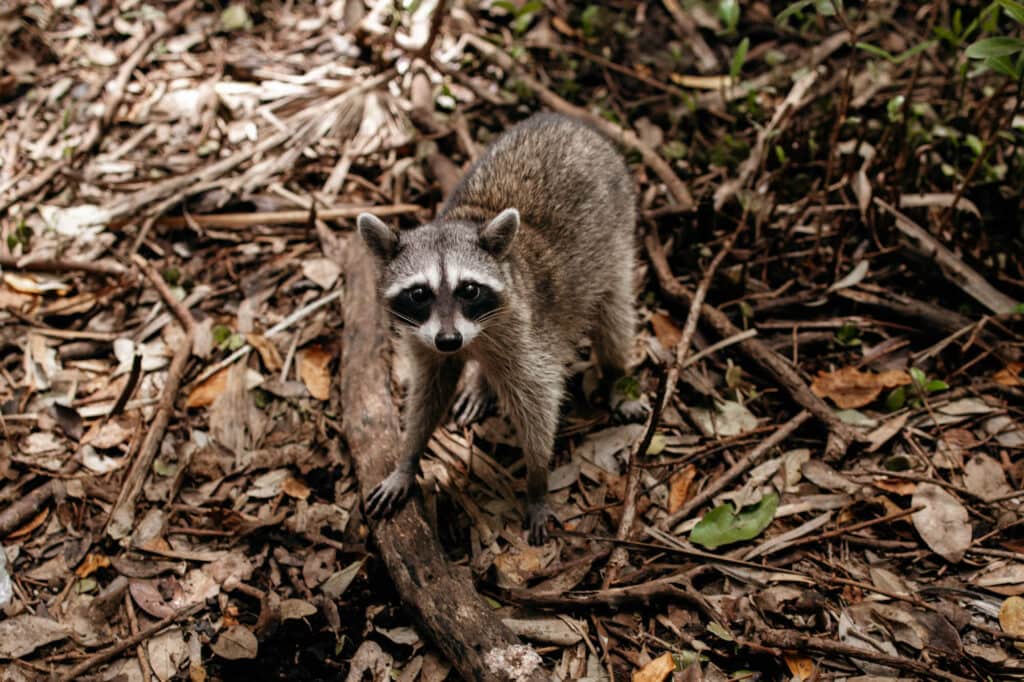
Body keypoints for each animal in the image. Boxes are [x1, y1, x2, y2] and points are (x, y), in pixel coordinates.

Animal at [360, 114, 647, 544]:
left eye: (469, 289)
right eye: (419, 293)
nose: (450, 340)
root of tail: (570, 120)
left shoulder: (523, 330)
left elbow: (538, 400)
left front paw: (537, 481)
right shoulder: (425, 339)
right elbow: (430, 390)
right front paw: (408, 457)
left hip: (618, 236)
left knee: (614, 318)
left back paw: (616, 375)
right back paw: (482, 382)